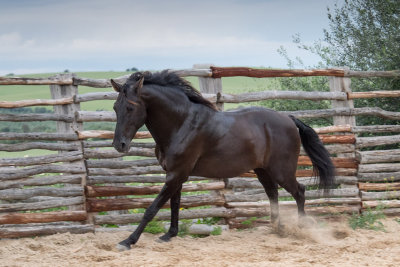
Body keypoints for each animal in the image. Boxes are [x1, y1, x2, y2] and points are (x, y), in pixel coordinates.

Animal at [110, 71, 334, 251]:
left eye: (130, 108)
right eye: (115, 107)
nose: (119, 144)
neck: (181, 123)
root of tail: (289, 119)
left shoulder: (176, 174)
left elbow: (152, 209)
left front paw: (127, 241)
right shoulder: (175, 175)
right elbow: (174, 204)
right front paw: (169, 235)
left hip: (282, 171)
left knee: (299, 192)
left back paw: (302, 228)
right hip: (262, 170)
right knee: (273, 193)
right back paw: (276, 228)